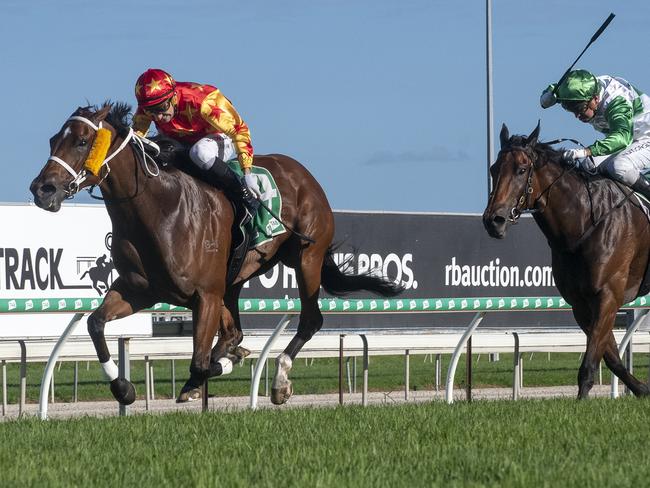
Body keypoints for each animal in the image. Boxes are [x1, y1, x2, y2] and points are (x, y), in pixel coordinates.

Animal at [34, 102, 404, 404]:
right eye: (52, 141)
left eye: (82, 141)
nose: (42, 189)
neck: (160, 210)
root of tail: (303, 174)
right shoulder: (139, 290)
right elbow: (95, 323)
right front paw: (122, 388)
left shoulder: (206, 295)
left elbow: (200, 363)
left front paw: (226, 362)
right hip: (237, 277)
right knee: (235, 327)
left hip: (306, 257)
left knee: (310, 319)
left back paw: (279, 381)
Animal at [480, 120, 648, 398]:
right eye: (494, 169)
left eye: (522, 169)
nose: (494, 220)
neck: (585, 222)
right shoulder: (580, 302)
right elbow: (610, 356)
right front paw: (642, 389)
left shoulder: (608, 294)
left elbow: (590, 362)